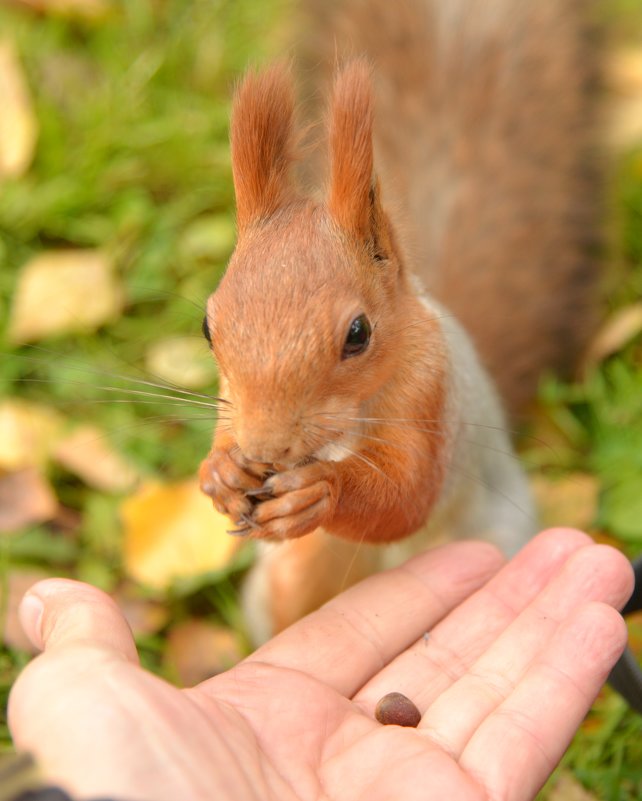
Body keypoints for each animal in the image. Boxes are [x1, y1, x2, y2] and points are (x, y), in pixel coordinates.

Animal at [198, 0, 596, 640]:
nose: (267, 447)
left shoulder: (432, 391)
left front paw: (322, 491)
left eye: (357, 334)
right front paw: (221, 472)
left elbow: (407, 497)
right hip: (285, 584)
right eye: (209, 327)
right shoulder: (229, 396)